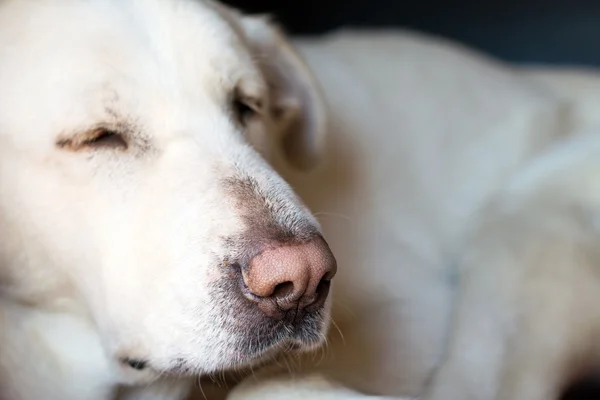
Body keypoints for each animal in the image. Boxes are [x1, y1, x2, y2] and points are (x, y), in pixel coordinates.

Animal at [3, 0, 600, 400]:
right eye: (98, 137)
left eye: (247, 106)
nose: (303, 280)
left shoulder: (412, 306)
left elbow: (265, 386)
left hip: (522, 232)